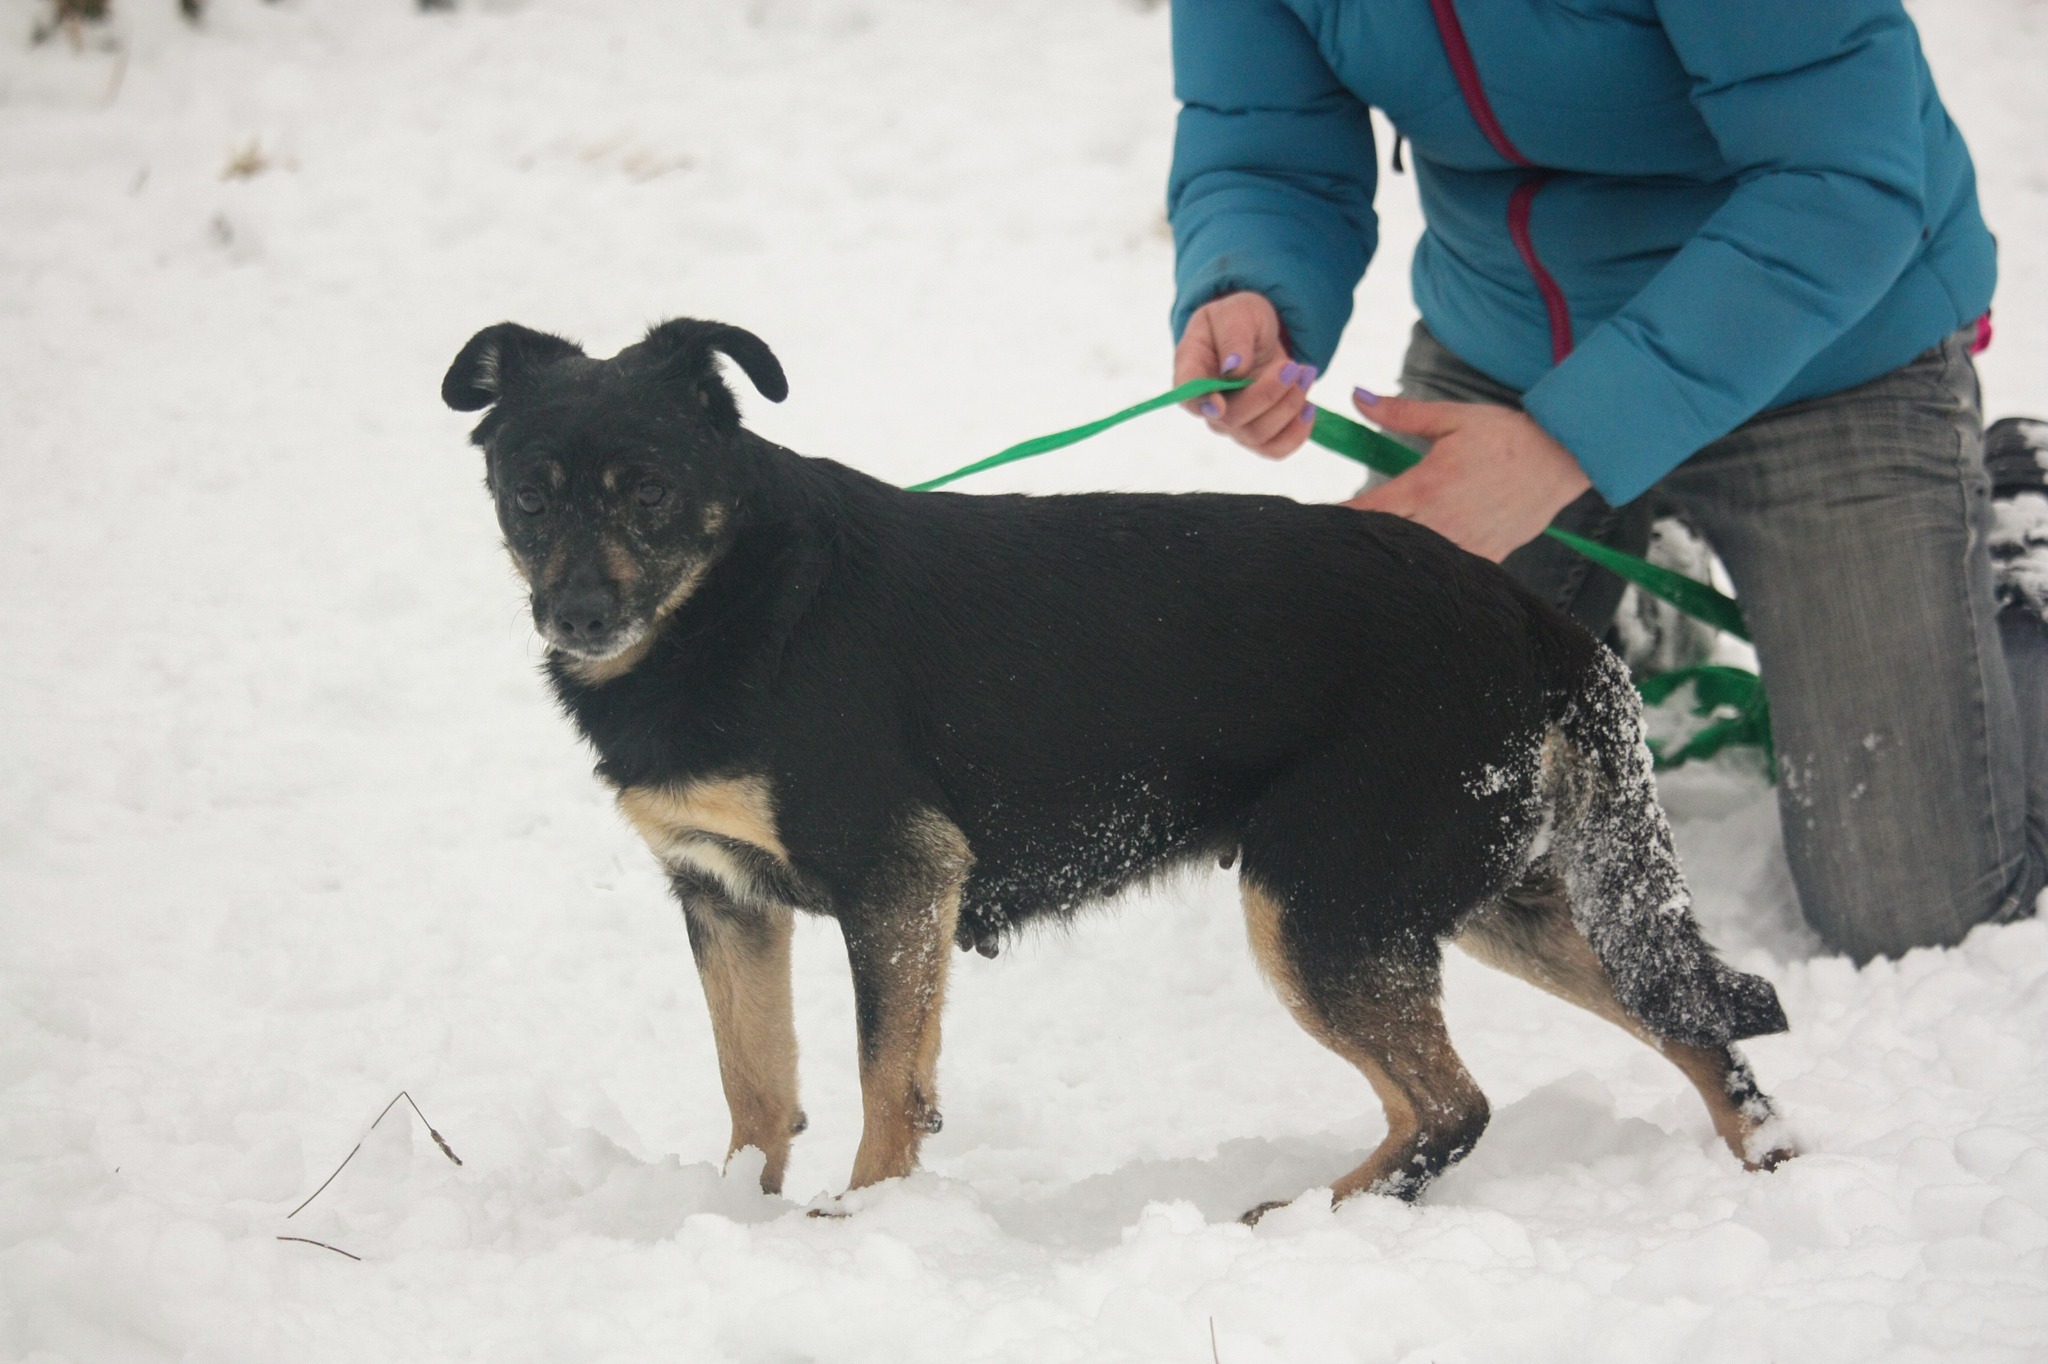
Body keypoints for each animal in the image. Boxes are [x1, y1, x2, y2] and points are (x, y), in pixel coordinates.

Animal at [442, 316, 1793, 1219]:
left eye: (649, 491)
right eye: (527, 496)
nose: (575, 617)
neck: (732, 606)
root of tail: (1532, 618)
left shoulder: (894, 879)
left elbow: (886, 1083)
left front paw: (859, 1224)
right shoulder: (722, 894)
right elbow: (755, 1085)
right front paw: (738, 1216)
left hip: (1319, 902)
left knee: (1455, 1104)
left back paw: (1309, 1219)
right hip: (1477, 894)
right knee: (1686, 1020)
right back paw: (1764, 1163)